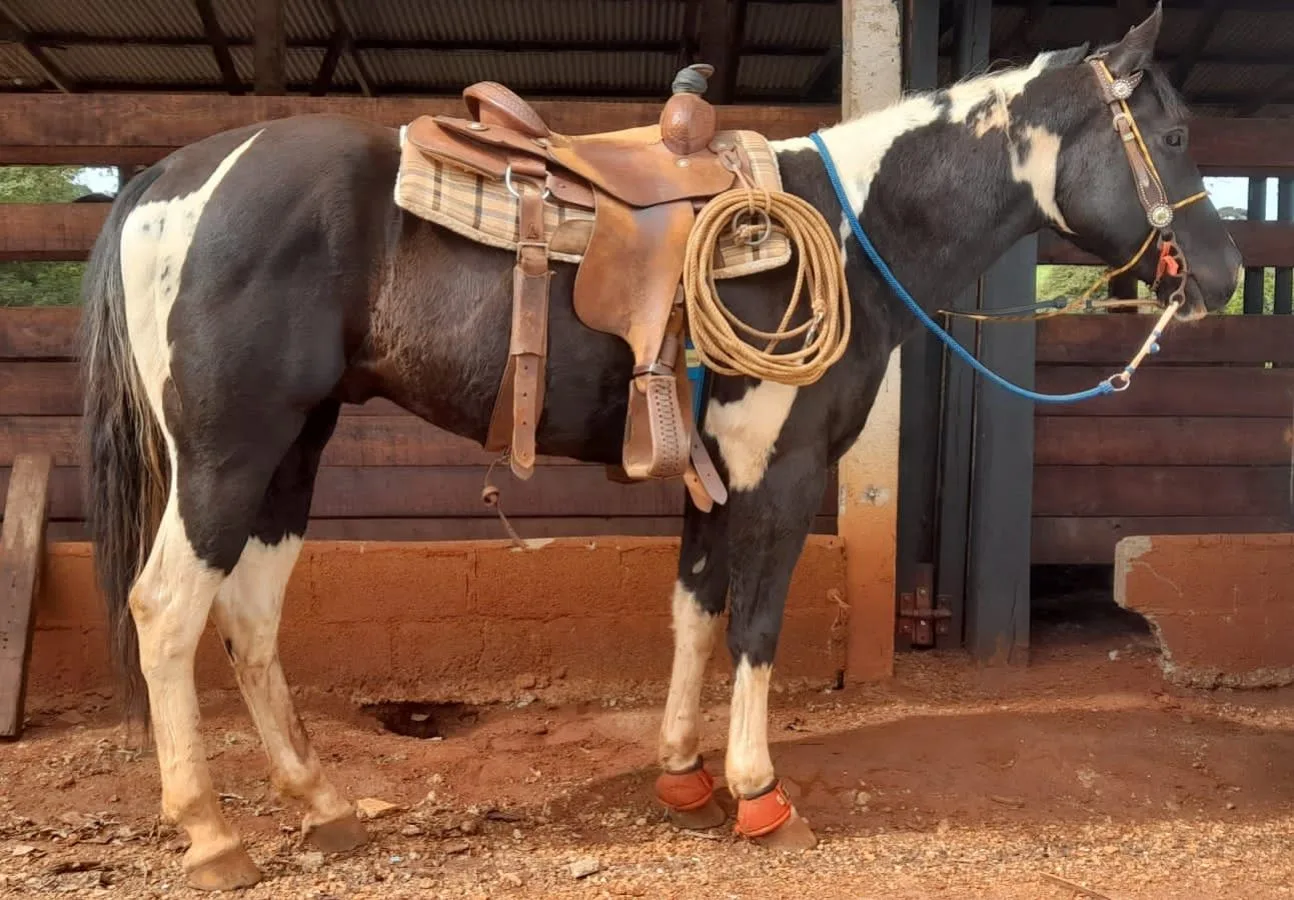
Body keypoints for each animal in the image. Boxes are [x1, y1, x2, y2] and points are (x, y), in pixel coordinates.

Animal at [78, 5, 1239, 890]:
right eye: (1176, 133)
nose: (1223, 277)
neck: (852, 233)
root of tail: (163, 180)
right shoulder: (784, 470)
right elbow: (758, 626)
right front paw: (759, 795)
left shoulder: (710, 472)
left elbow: (694, 609)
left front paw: (683, 774)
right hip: (227, 451)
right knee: (167, 608)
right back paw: (213, 833)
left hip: (292, 449)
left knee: (251, 613)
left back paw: (322, 802)